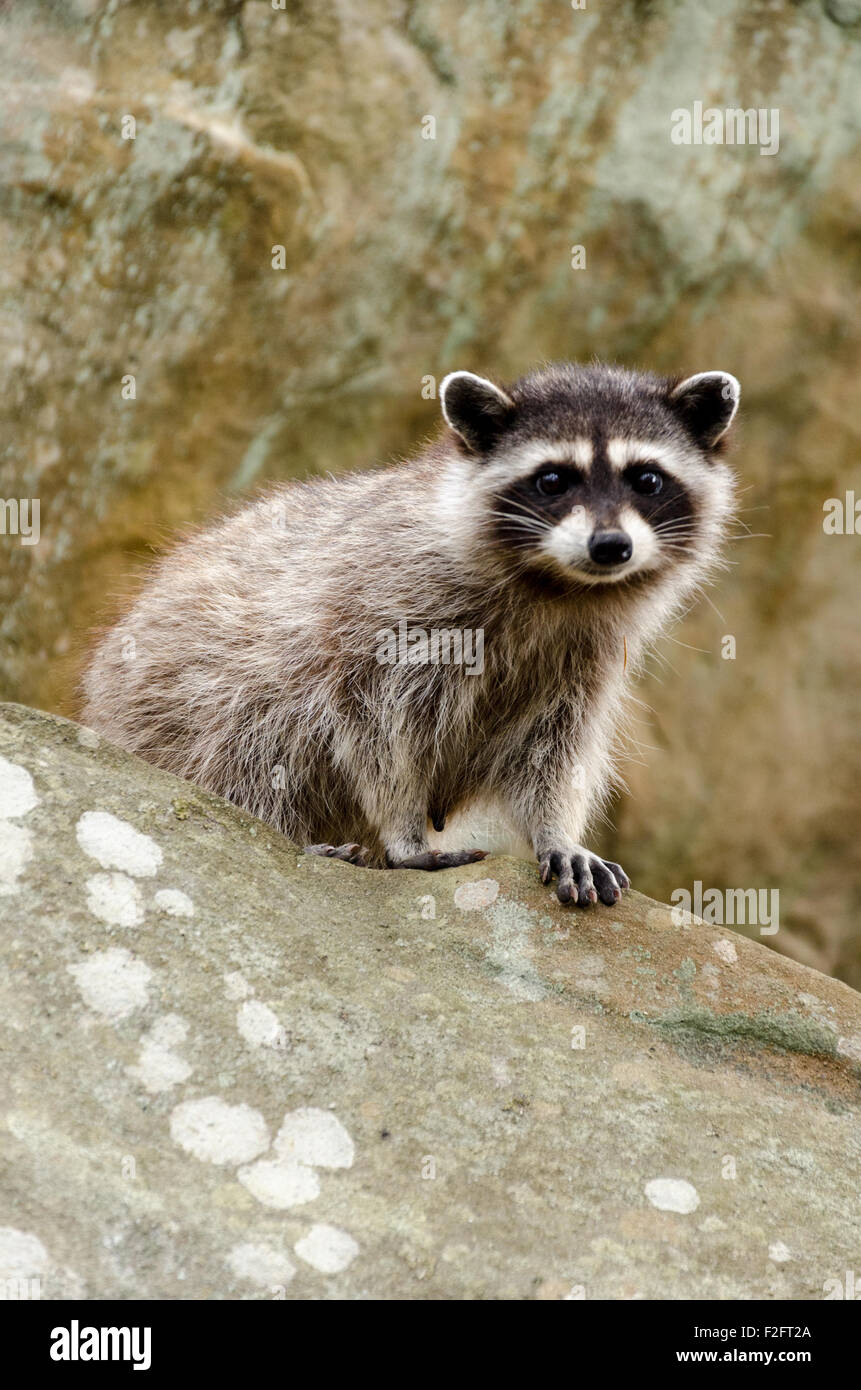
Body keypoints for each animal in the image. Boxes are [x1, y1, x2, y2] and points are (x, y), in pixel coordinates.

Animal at [82, 358, 739, 906]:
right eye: (553, 480)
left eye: (646, 479)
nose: (610, 546)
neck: (560, 589)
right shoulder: (384, 602)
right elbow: (371, 722)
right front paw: (402, 830)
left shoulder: (583, 659)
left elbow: (555, 747)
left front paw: (555, 830)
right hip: (178, 698)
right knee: (249, 741)